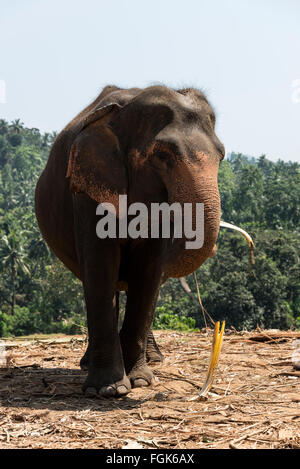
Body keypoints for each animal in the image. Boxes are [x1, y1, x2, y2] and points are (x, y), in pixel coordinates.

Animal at [34, 84, 225, 394]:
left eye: (221, 156)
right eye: (163, 155)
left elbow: (148, 271)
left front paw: (140, 381)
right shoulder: (87, 190)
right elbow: (100, 266)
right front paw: (108, 390)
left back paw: (154, 360)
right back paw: (89, 364)